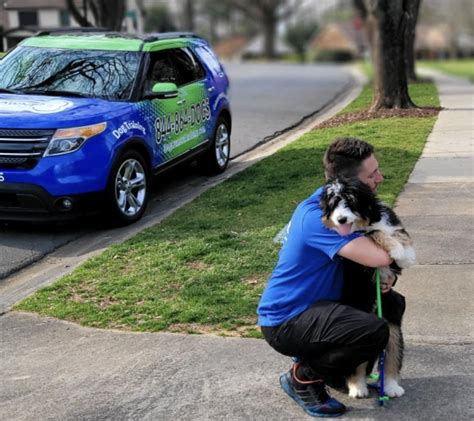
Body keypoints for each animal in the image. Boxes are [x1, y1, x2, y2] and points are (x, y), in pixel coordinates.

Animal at [318, 177, 414, 398]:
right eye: (333, 203)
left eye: (350, 201)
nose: (341, 219)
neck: (366, 222)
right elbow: (374, 234)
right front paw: (397, 249)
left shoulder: (391, 224)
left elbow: (397, 233)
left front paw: (405, 253)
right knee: (357, 366)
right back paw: (358, 388)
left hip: (392, 322)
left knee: (392, 356)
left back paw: (391, 387)